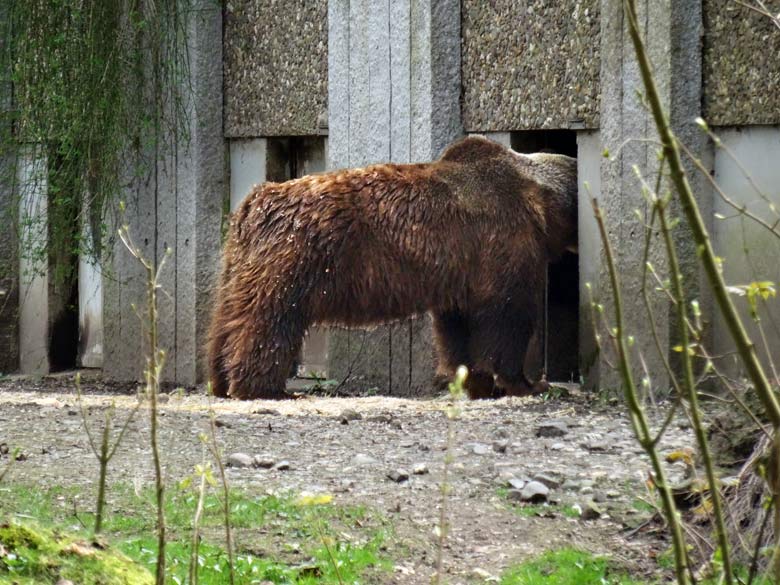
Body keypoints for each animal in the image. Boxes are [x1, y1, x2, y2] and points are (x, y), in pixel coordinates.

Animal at [209, 136, 580, 400]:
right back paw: (263, 388)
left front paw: (475, 382)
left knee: (228, 319)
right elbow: (508, 314)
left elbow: (457, 328)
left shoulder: (461, 271)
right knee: (270, 319)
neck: (540, 202)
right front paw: (527, 383)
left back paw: (220, 378)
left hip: (237, 264)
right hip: (296, 258)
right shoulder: (503, 241)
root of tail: (253, 201)